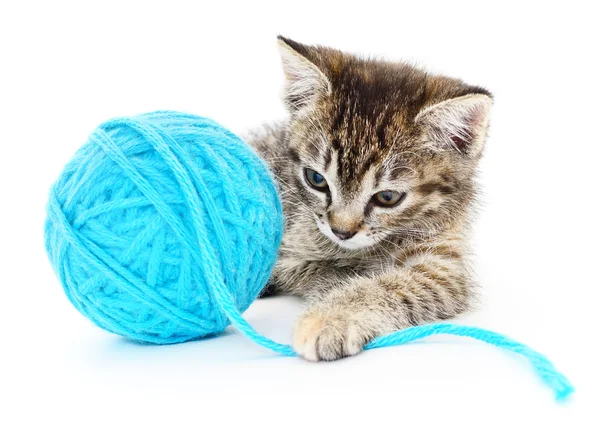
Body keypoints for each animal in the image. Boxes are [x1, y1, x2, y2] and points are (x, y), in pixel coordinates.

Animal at [245, 36, 492, 362]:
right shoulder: (288, 248)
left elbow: (396, 284)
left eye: (388, 196)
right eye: (316, 179)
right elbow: (326, 269)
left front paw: (330, 318)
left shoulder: (444, 266)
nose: (341, 231)